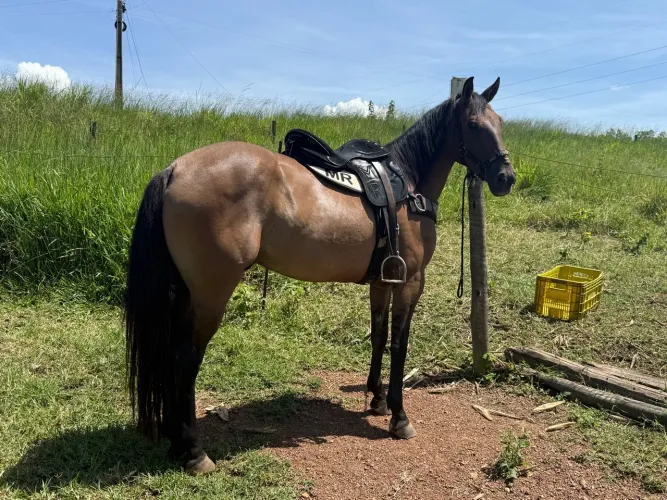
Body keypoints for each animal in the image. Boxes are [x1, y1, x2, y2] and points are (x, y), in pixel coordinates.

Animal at [124, 76, 516, 474]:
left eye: (500, 123)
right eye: (473, 125)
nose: (506, 178)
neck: (407, 185)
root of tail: (175, 169)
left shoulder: (383, 281)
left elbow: (378, 337)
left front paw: (377, 400)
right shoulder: (410, 283)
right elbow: (400, 345)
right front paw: (399, 416)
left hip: (185, 293)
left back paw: (177, 441)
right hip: (211, 294)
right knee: (184, 358)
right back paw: (193, 450)